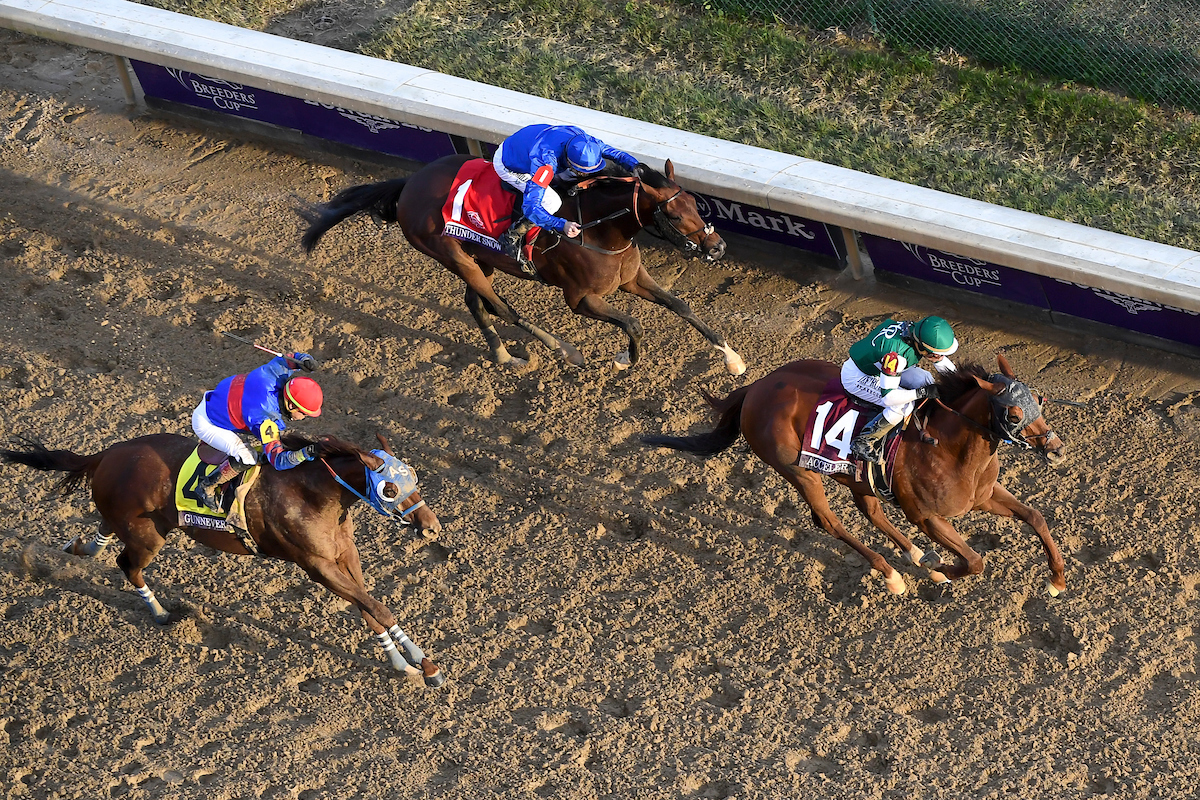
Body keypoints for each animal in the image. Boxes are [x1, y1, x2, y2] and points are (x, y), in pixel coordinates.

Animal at [0, 431, 446, 690]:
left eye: (415, 479)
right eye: (390, 488)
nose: (431, 528)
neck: (313, 492)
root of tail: (104, 454)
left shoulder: (344, 556)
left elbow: (370, 609)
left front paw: (401, 662)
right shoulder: (315, 566)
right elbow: (378, 609)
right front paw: (427, 667)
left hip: (125, 519)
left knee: (101, 540)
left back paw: (69, 551)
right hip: (148, 534)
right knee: (128, 564)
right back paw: (161, 613)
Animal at [300, 154, 744, 376]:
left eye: (696, 204)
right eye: (675, 215)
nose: (719, 247)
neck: (600, 230)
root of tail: (409, 183)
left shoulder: (633, 278)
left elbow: (680, 305)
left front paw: (732, 358)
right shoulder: (580, 299)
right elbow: (633, 323)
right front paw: (624, 359)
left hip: (477, 259)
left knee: (475, 303)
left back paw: (502, 356)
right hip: (452, 255)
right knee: (502, 308)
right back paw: (563, 350)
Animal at [648, 355, 1070, 594]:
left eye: (1039, 400)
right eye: (1013, 414)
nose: (1056, 448)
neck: (950, 446)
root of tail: (755, 388)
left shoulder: (983, 495)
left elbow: (1036, 517)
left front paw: (1056, 580)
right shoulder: (927, 517)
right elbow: (974, 560)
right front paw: (942, 570)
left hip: (855, 477)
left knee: (871, 511)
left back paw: (914, 556)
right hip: (796, 470)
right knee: (828, 520)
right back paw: (893, 575)